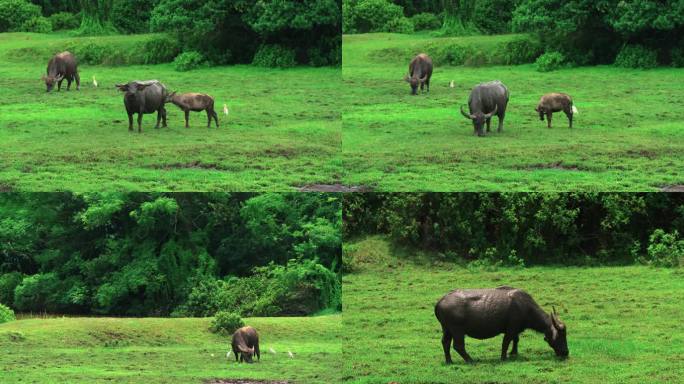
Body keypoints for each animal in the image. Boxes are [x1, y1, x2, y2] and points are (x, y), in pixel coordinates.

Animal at [436, 288, 568, 364]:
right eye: (561, 336)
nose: (566, 352)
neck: (525, 307)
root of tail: (439, 302)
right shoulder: (510, 329)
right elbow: (506, 343)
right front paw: (504, 357)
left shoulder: (515, 330)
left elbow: (516, 340)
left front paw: (514, 353)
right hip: (457, 330)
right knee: (458, 346)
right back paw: (470, 360)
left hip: (447, 329)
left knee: (445, 342)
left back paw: (449, 361)